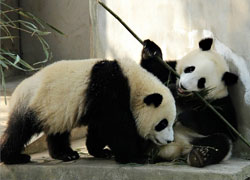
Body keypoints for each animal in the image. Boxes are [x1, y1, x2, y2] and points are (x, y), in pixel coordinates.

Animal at [0, 58, 176, 165]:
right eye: (162, 123)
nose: (170, 140)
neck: (134, 83)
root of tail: (18, 90)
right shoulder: (108, 89)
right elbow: (116, 125)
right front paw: (137, 156)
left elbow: (100, 128)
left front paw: (100, 151)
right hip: (35, 103)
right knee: (19, 130)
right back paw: (14, 157)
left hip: (54, 111)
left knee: (58, 132)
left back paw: (66, 154)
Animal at [141, 38, 238, 167]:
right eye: (190, 69)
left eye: (201, 82)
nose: (183, 86)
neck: (186, 97)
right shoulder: (171, 72)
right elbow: (154, 70)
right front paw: (150, 50)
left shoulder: (220, 102)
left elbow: (227, 127)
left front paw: (186, 116)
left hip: (196, 139)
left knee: (221, 142)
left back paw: (199, 156)